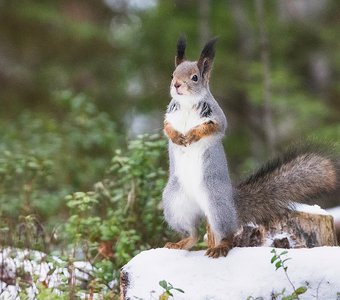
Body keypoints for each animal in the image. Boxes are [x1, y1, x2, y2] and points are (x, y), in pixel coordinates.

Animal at [163, 35, 340, 258]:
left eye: (195, 77)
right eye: (172, 74)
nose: (177, 85)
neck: (187, 104)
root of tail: (230, 201)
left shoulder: (218, 118)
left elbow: (212, 128)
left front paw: (192, 135)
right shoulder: (169, 116)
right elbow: (167, 127)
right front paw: (177, 137)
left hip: (216, 203)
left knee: (228, 233)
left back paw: (220, 246)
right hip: (175, 205)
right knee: (193, 233)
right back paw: (180, 243)